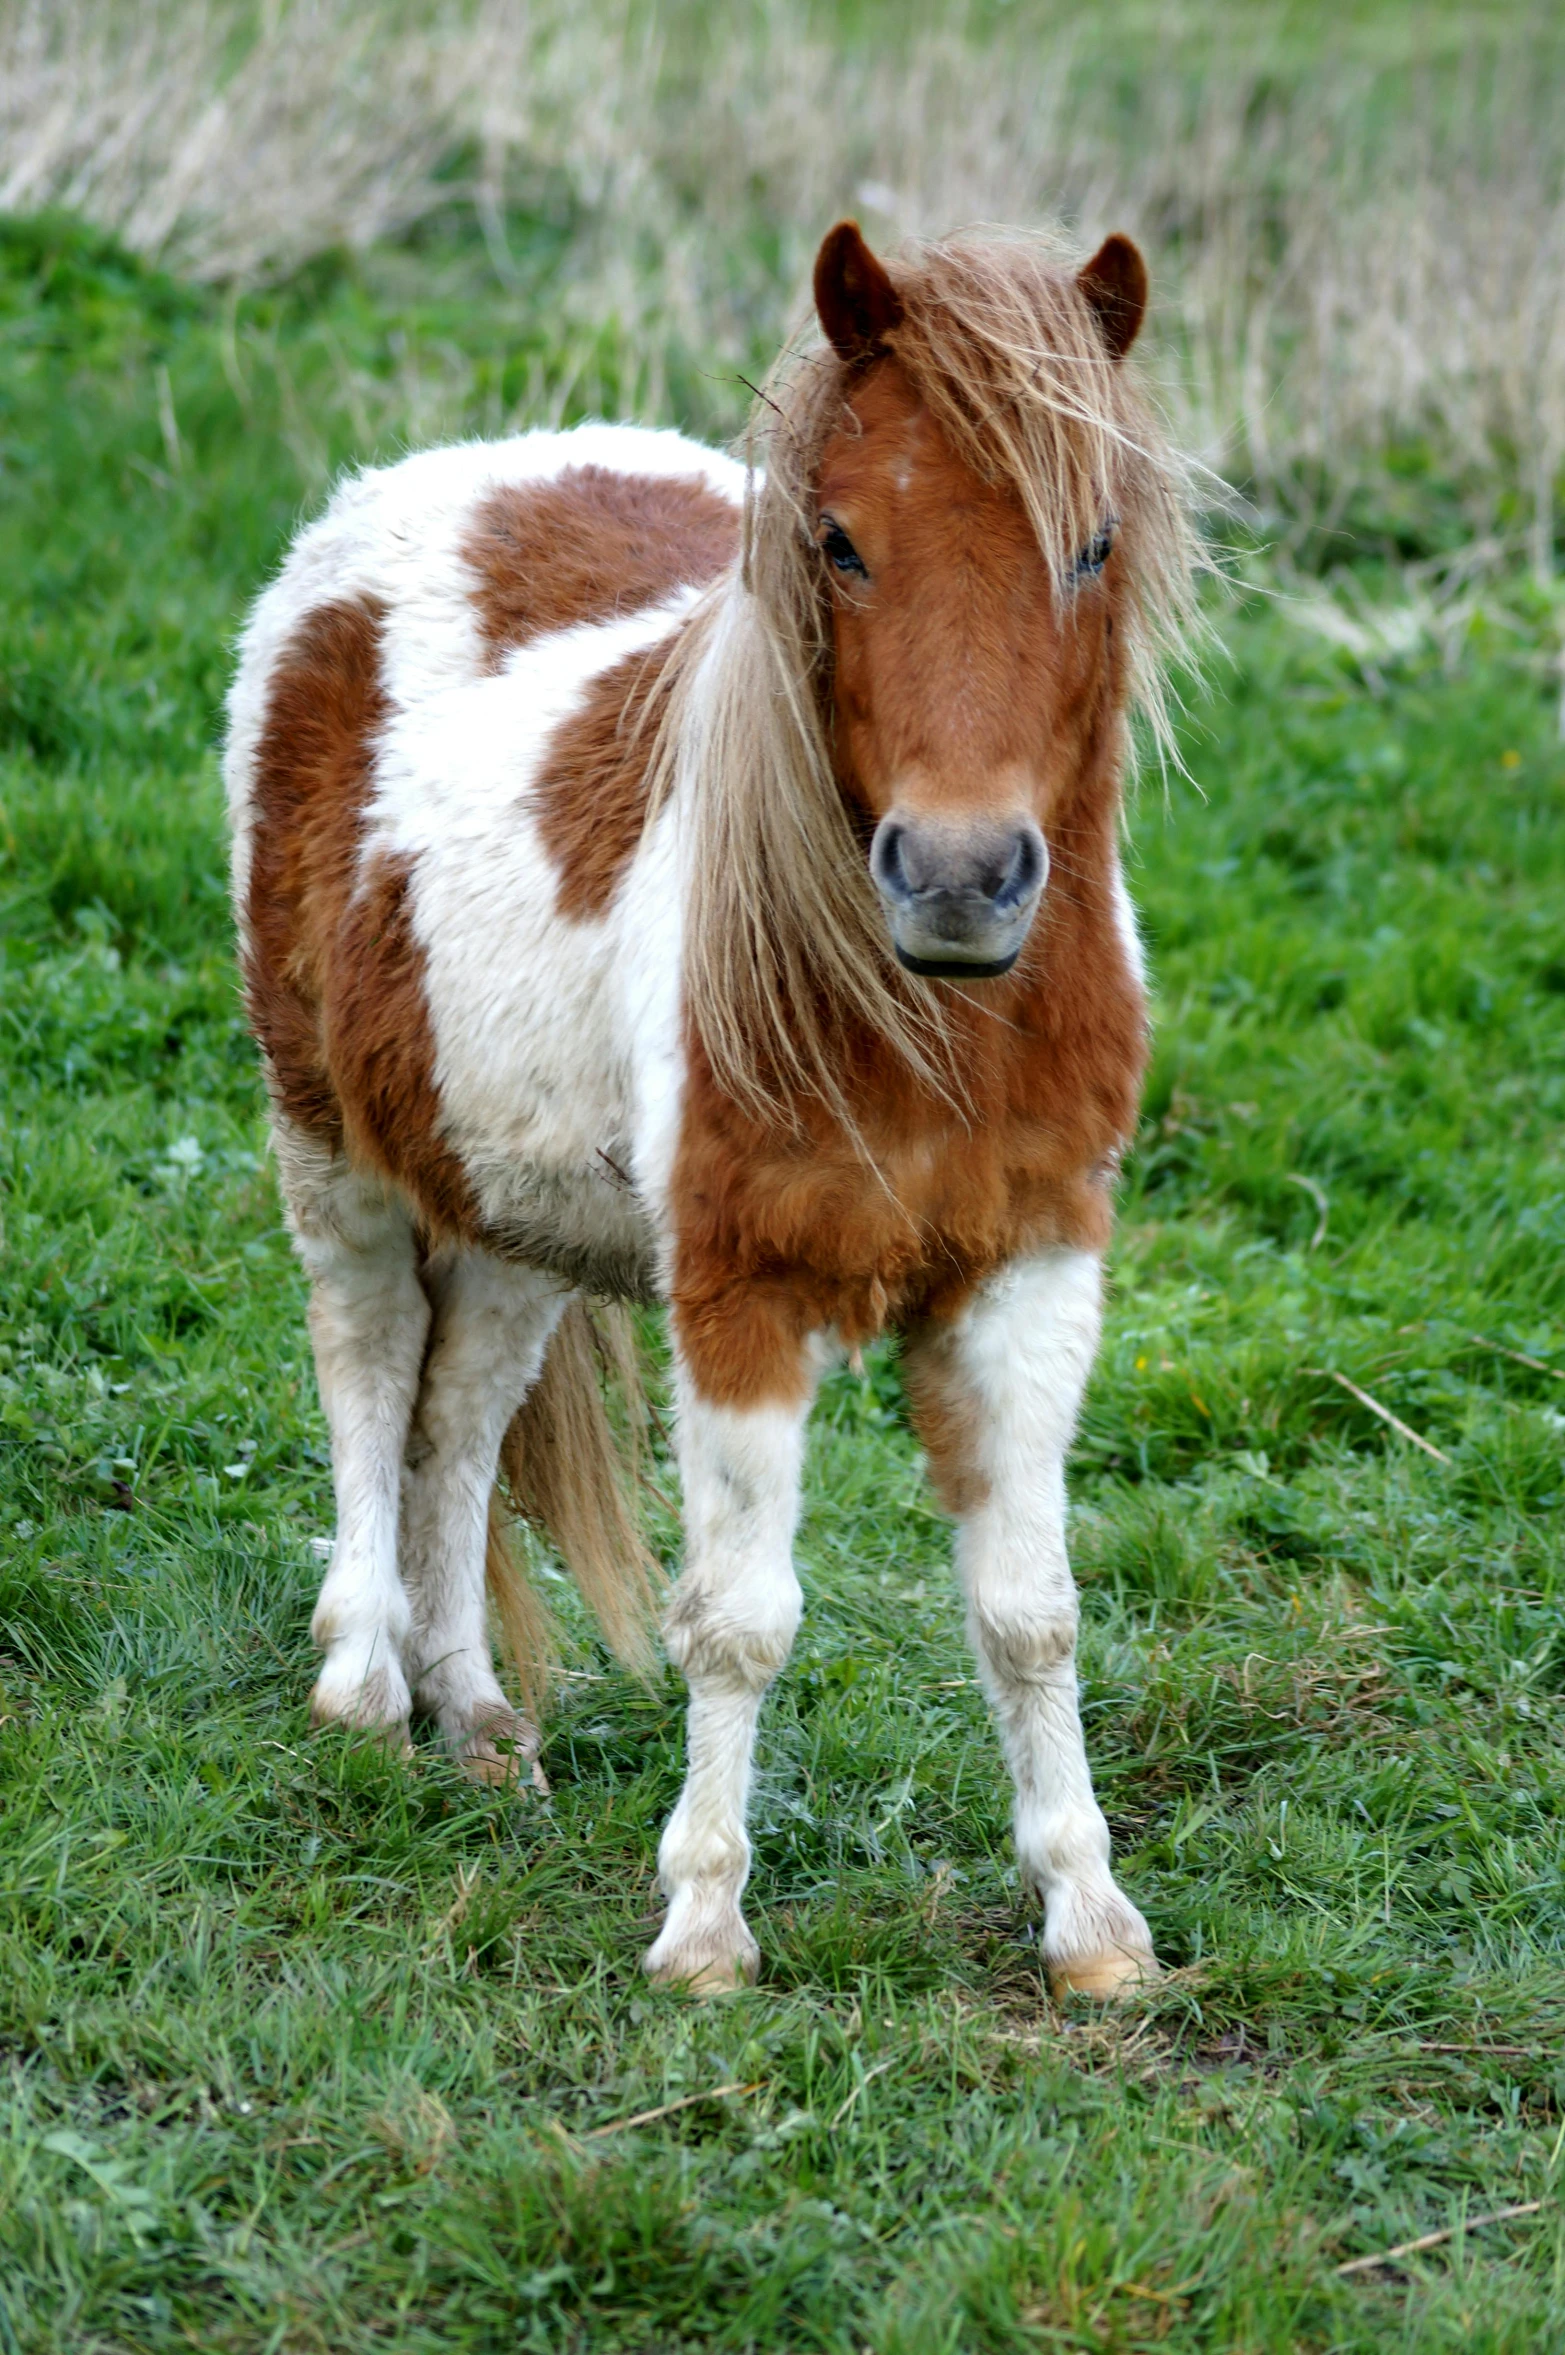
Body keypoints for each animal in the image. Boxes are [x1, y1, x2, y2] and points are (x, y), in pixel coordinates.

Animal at [222, 221, 1195, 1997]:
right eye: (839, 543)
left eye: (1091, 545)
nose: (960, 877)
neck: (918, 1018)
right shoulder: (741, 1290)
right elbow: (738, 1617)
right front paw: (703, 1928)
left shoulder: (1031, 1274)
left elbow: (1029, 1609)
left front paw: (1093, 1923)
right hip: (330, 1139)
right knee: (367, 1364)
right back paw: (362, 1689)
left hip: (511, 1197)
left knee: (460, 1413)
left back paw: (477, 1719)